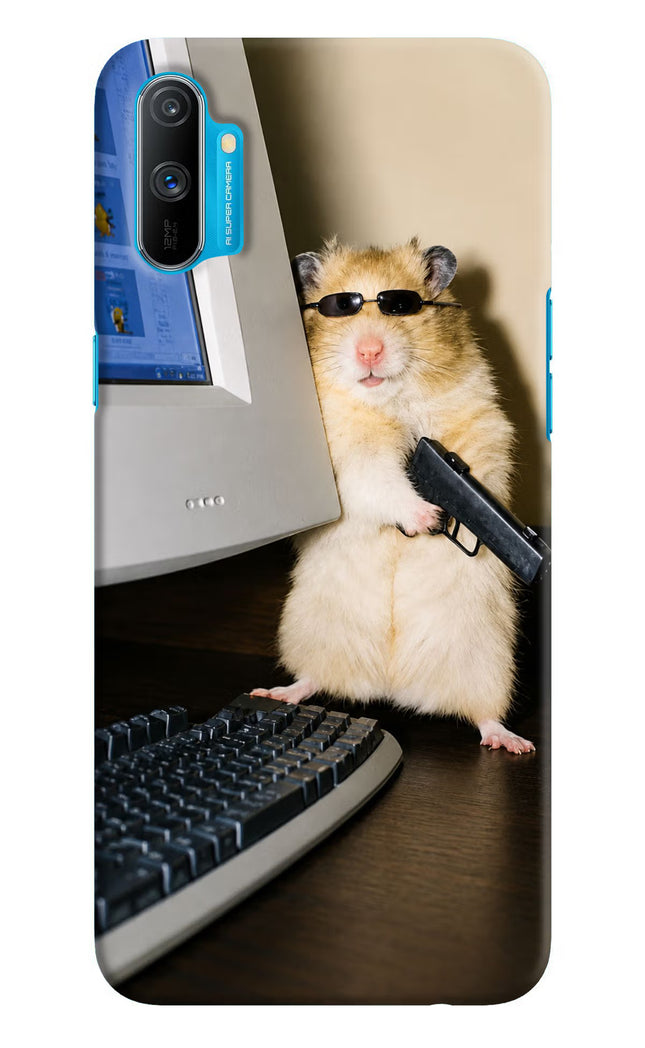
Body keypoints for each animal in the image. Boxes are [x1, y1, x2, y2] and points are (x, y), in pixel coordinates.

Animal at [252, 238, 534, 754]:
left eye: (401, 306)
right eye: (340, 307)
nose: (369, 350)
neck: (389, 401)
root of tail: (393, 686)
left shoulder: (481, 424)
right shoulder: (348, 458)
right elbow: (380, 481)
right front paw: (428, 517)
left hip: (487, 661)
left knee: (484, 714)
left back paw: (512, 742)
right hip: (311, 632)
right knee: (313, 678)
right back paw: (277, 692)